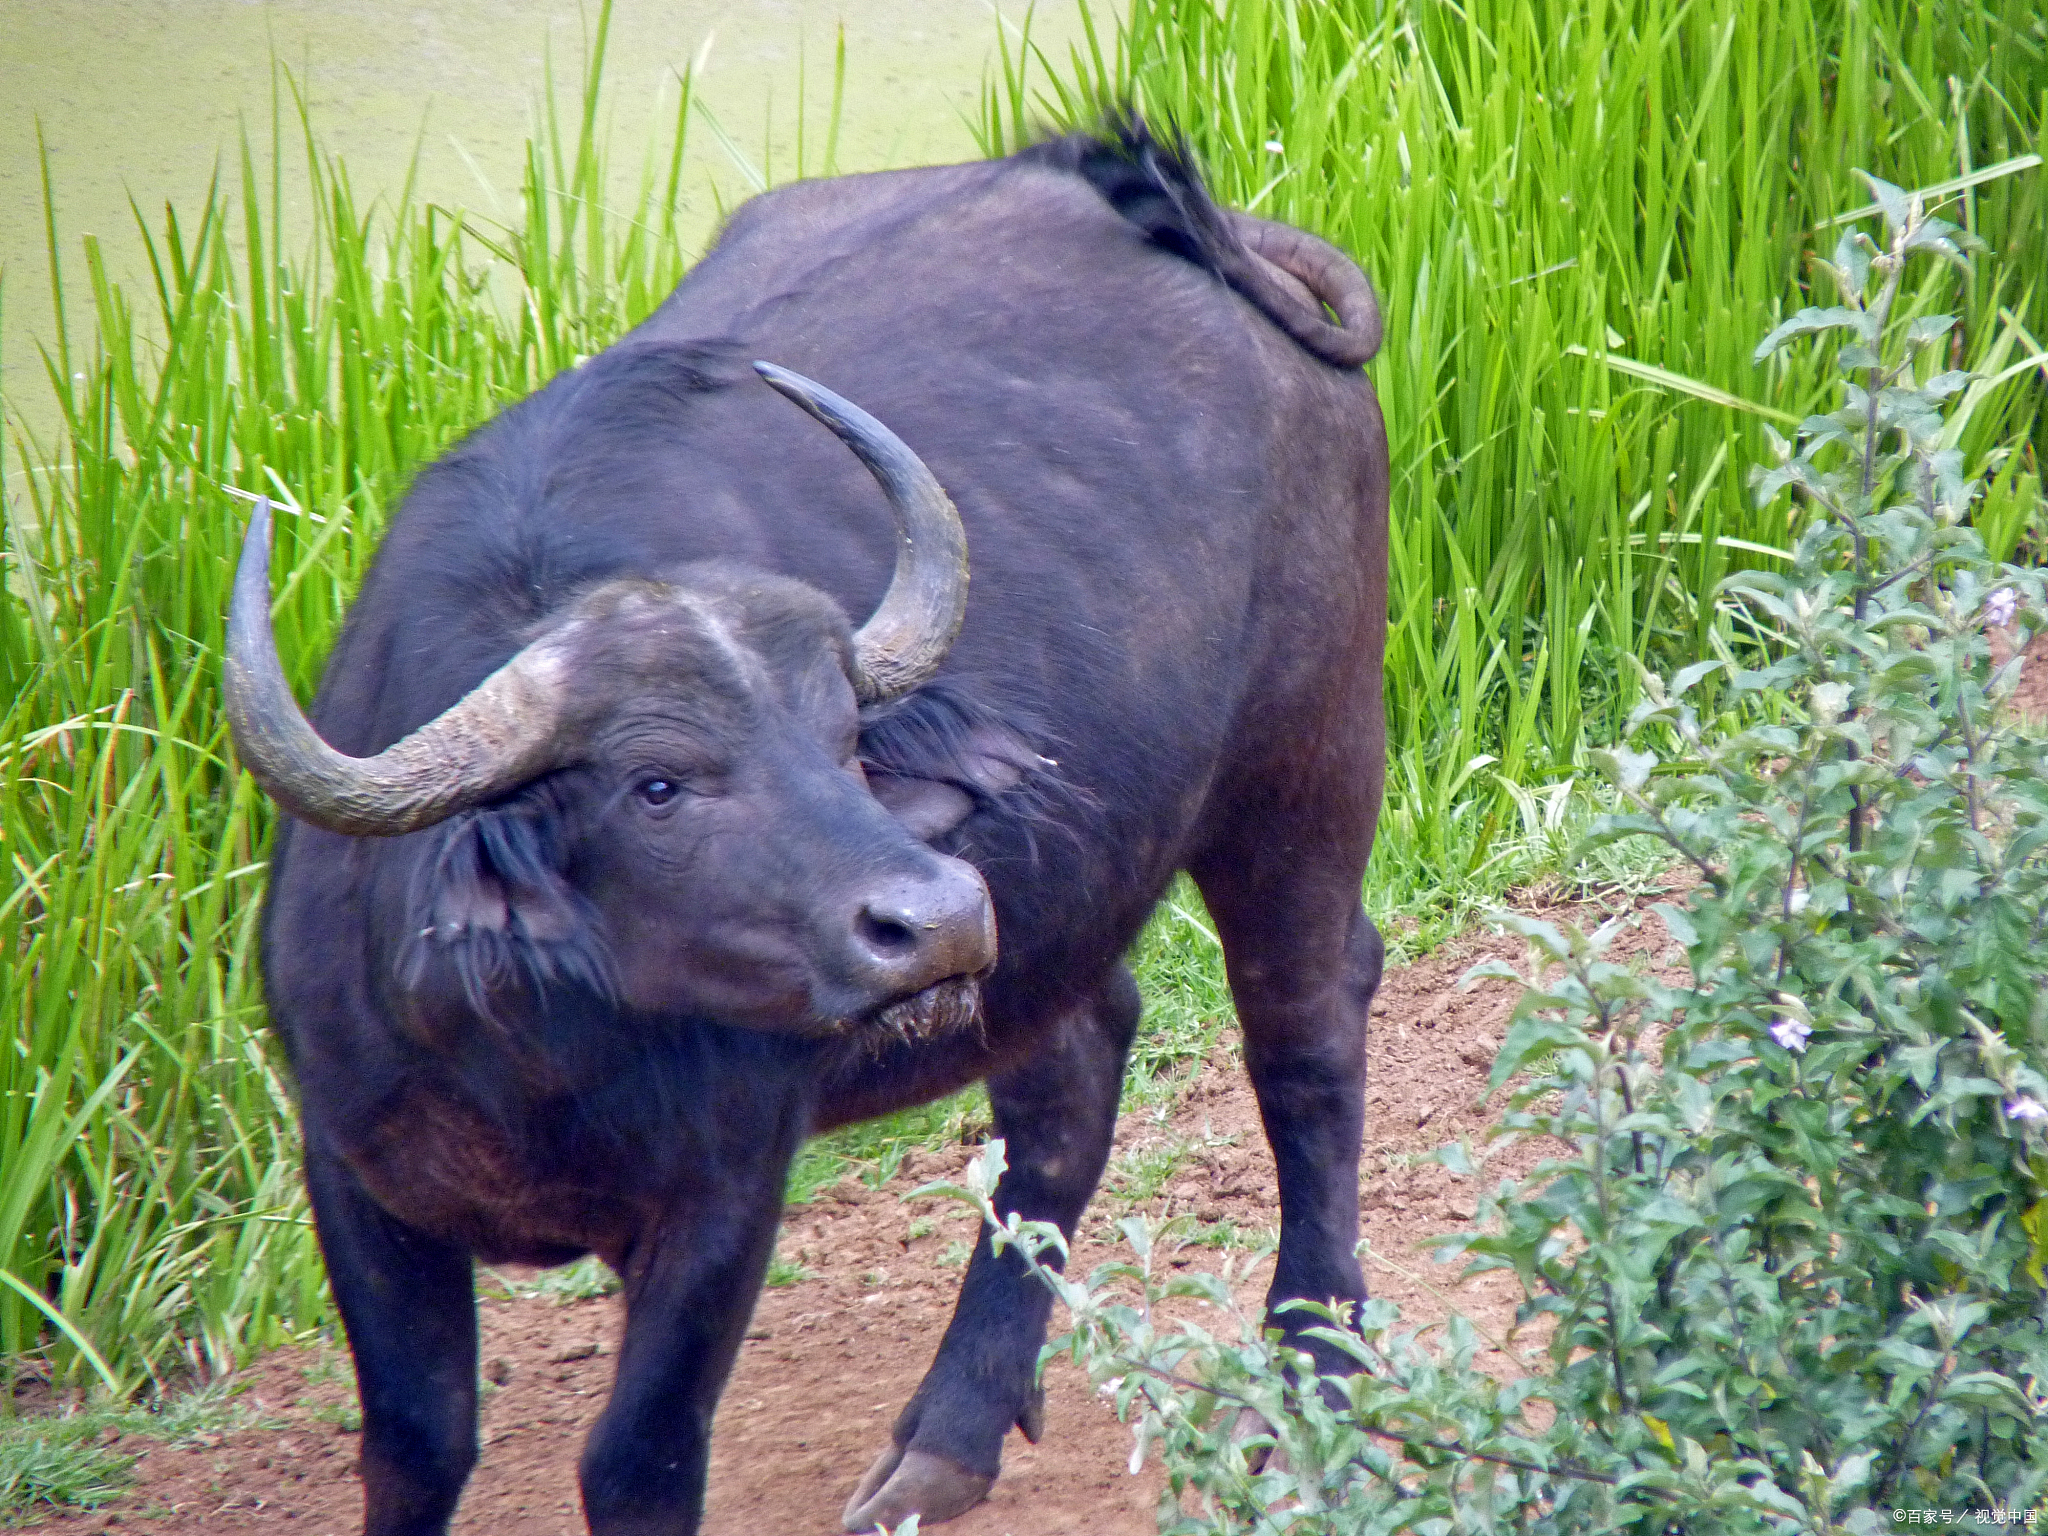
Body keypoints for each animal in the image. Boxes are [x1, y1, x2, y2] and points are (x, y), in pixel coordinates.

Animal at [232, 120, 1392, 1536]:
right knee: (1068, 1079)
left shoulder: (725, 1190)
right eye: (656, 784)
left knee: (1306, 1036)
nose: (938, 921)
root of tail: (1209, 237)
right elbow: (414, 1442)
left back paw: (1309, 1381)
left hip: (1304, 764)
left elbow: (636, 1459)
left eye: (844, 738)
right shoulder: (353, 1170)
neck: (541, 1041)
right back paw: (946, 1437)